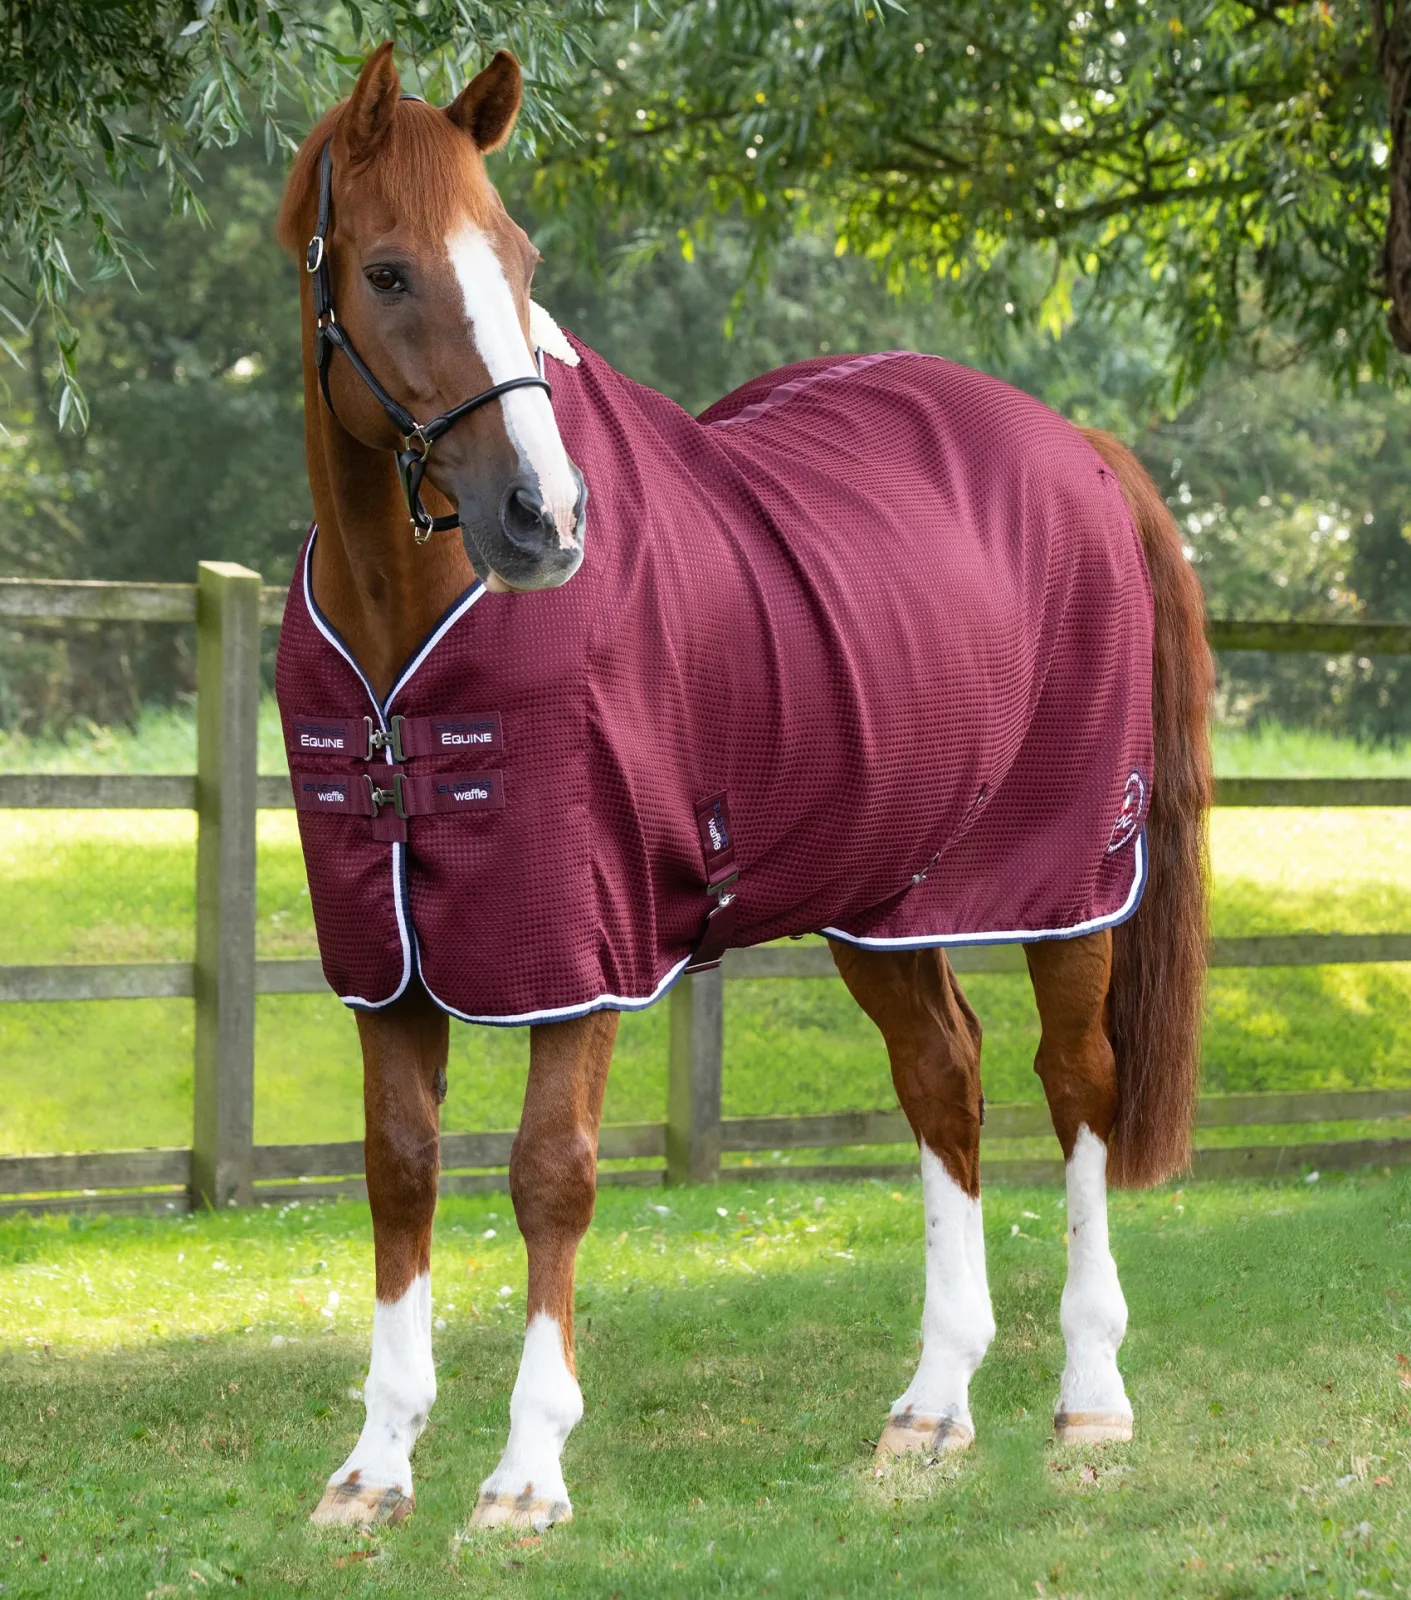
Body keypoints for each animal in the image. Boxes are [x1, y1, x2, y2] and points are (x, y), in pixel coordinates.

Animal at [273, 43, 1213, 1531]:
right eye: (386, 271)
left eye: (519, 257)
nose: (546, 518)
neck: (401, 632)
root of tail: (1075, 447)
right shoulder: (388, 959)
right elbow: (398, 1170)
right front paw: (374, 1465)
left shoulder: (576, 948)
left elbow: (549, 1175)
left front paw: (526, 1472)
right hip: (887, 897)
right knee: (942, 1077)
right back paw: (932, 1405)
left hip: (1065, 881)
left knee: (1076, 1085)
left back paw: (1089, 1394)